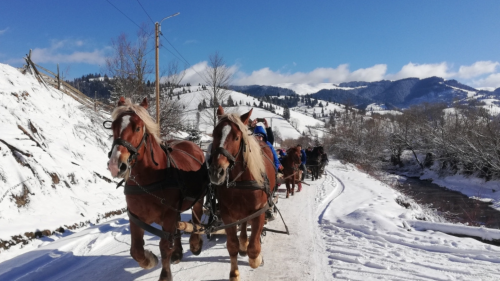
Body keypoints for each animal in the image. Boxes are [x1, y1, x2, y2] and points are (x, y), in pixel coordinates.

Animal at [106, 97, 206, 280]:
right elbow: (136, 250)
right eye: (113, 126)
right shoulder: (135, 216)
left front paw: (165, 275)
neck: (147, 181)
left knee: (196, 220)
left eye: (138, 128)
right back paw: (178, 252)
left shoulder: (168, 215)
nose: (116, 165)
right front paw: (149, 260)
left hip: (199, 197)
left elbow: (164, 246)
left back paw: (195, 244)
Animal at [208, 105, 276, 280]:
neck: (240, 182)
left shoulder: (259, 211)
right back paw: (243, 242)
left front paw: (256, 258)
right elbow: (232, 245)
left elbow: (254, 247)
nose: (216, 172)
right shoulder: (227, 214)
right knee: (244, 224)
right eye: (214, 133)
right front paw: (234, 273)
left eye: (237, 137)